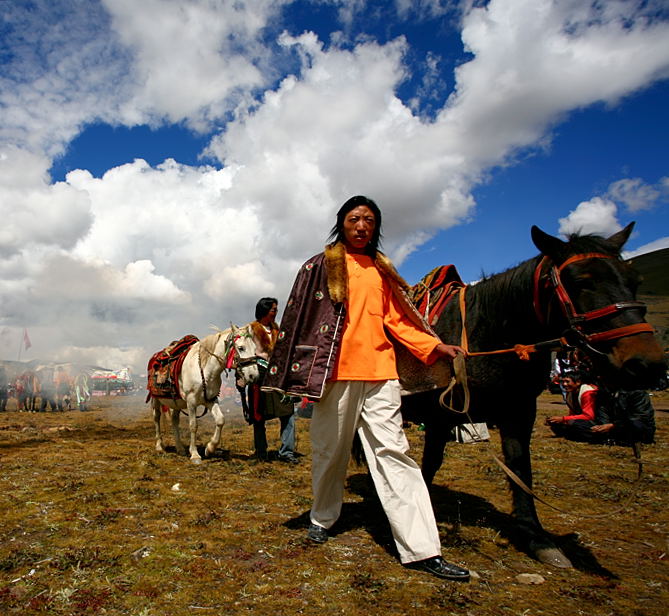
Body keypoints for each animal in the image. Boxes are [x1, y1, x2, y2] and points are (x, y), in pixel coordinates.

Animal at [151, 324, 258, 464]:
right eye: (241, 348)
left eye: (255, 348)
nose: (254, 375)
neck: (205, 370)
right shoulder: (191, 402)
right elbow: (193, 426)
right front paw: (195, 454)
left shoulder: (211, 400)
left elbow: (220, 420)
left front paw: (210, 448)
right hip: (155, 399)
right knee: (156, 418)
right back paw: (159, 446)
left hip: (177, 403)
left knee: (174, 421)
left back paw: (180, 448)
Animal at [400, 221, 664, 568]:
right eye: (580, 281)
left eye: (635, 281)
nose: (646, 363)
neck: (489, 332)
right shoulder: (439, 414)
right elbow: (431, 462)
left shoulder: (519, 411)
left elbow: (520, 467)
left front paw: (535, 537)